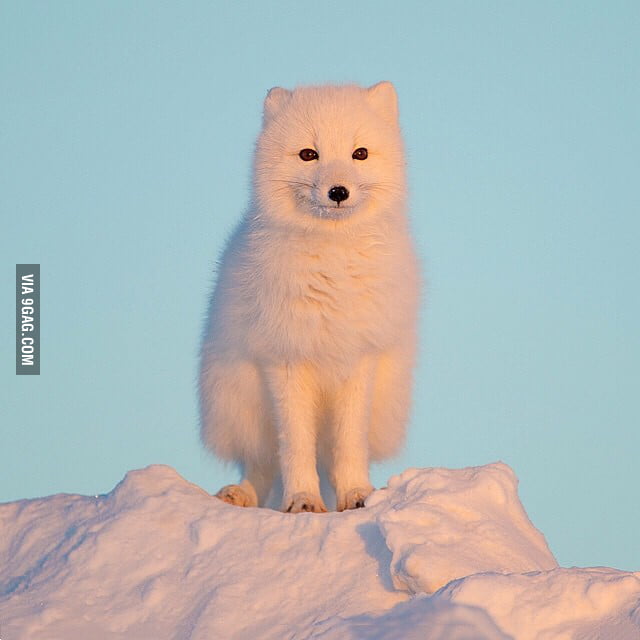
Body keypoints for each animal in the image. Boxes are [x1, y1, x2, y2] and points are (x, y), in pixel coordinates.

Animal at [199, 81, 420, 513]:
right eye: (308, 154)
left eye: (359, 153)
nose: (338, 191)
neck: (333, 267)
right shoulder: (285, 359)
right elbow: (296, 445)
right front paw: (302, 500)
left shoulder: (359, 358)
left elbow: (349, 444)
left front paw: (356, 494)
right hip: (242, 405)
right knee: (262, 462)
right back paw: (241, 494)